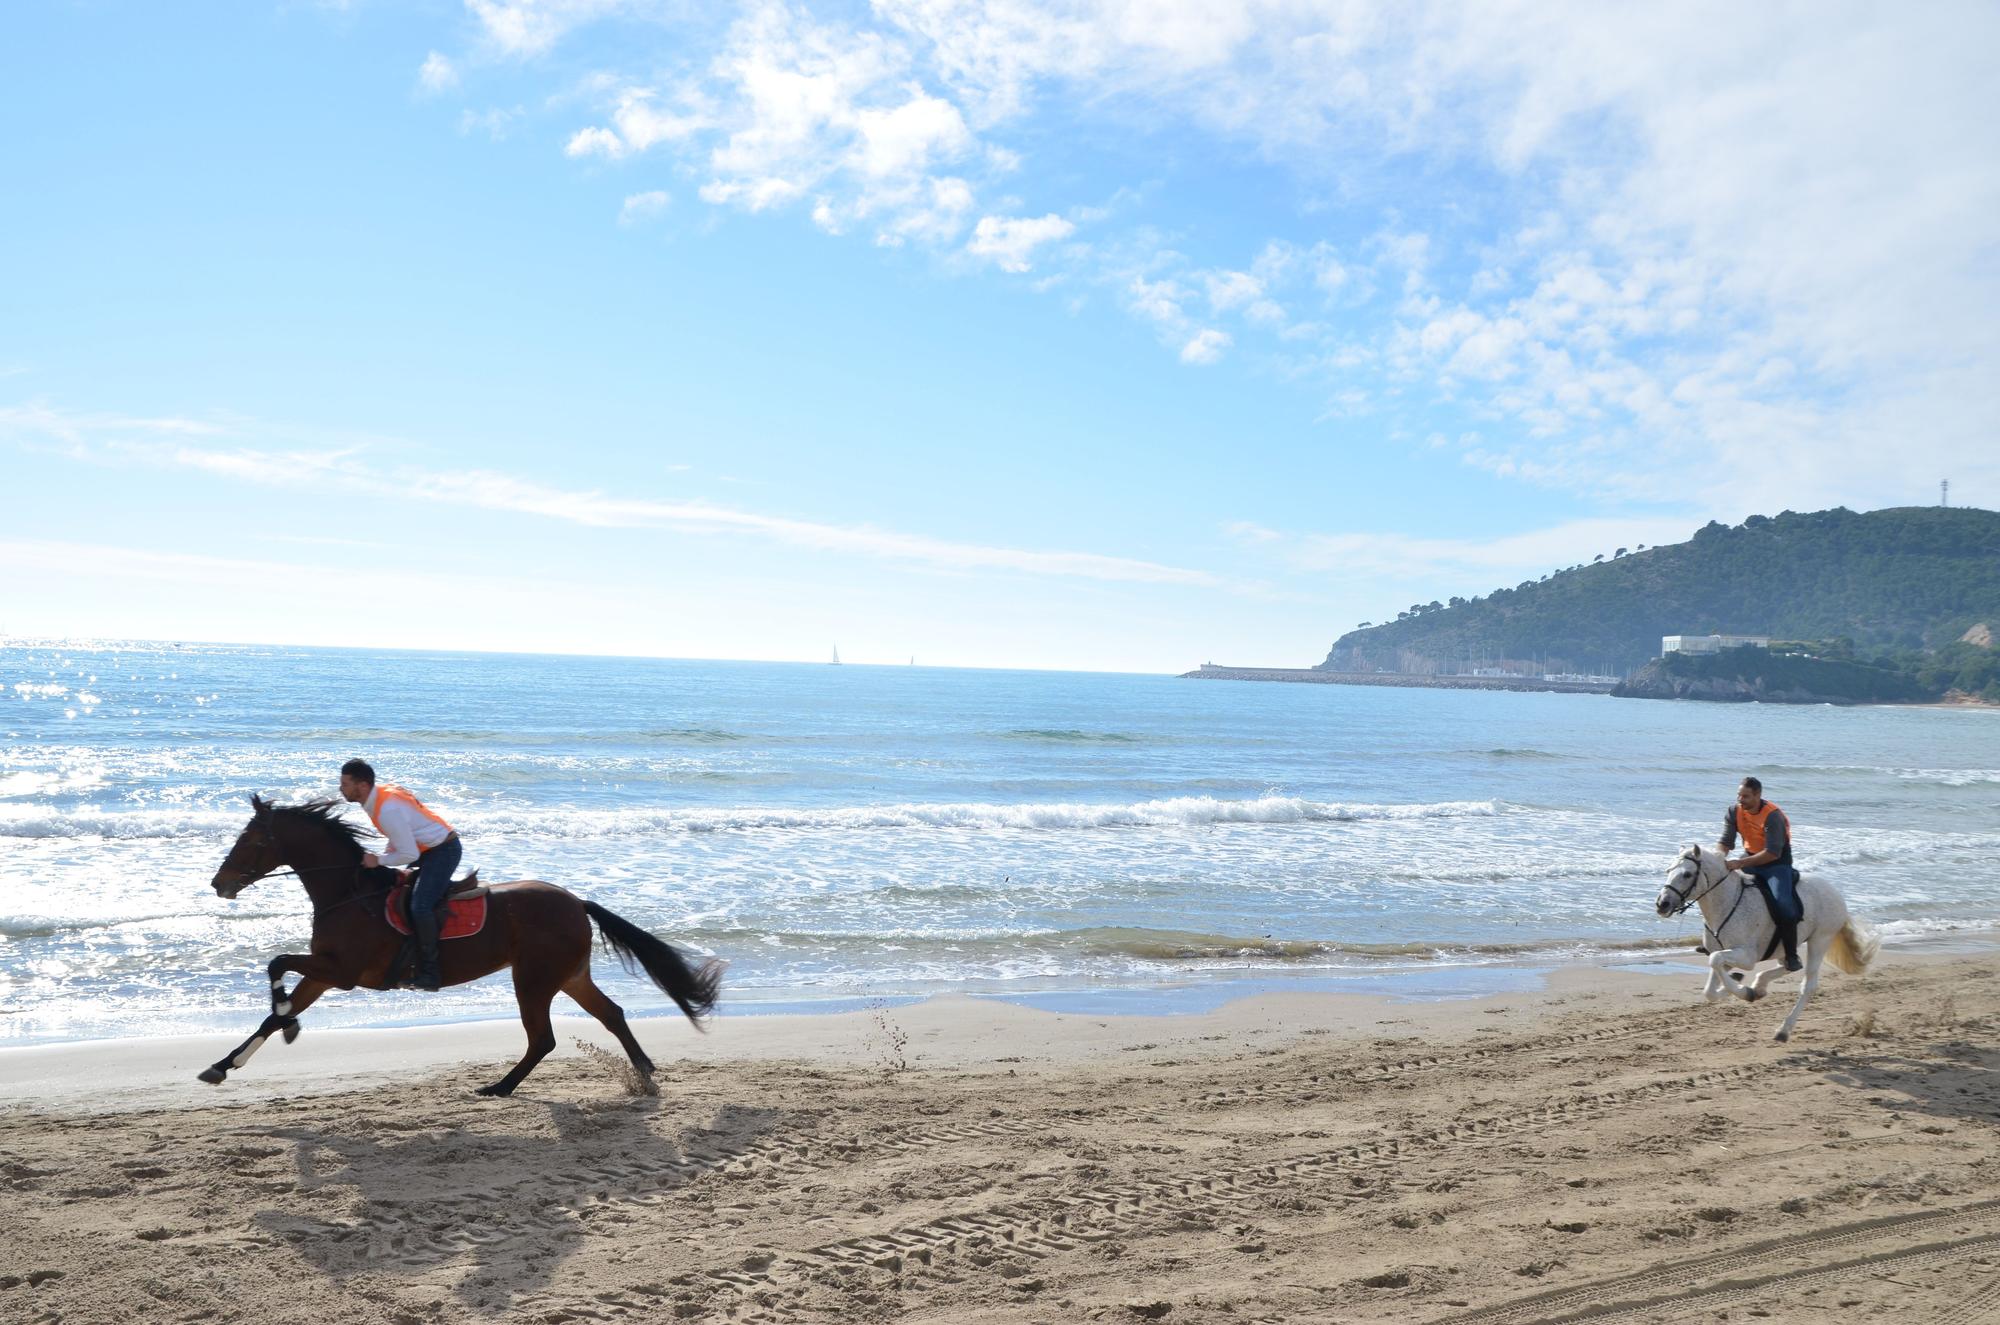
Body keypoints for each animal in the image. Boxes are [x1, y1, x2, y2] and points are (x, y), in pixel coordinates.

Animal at [201, 800, 720, 1096]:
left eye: (251, 839)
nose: (218, 883)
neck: (348, 894)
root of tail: (576, 902)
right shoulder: (324, 972)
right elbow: (271, 1012)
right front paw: (224, 1065)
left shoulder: (342, 972)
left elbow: (276, 965)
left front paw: (287, 1023)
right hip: (570, 975)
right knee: (612, 1014)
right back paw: (644, 1074)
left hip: (533, 979)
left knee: (543, 1038)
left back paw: (500, 1087)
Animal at [1656, 844, 1872, 1040]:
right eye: (1668, 871)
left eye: (1687, 874)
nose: (1662, 904)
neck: (1727, 902)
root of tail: (1835, 892)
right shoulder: (1724, 953)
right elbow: (1710, 989)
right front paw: (1740, 986)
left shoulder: (1745, 957)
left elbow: (1715, 961)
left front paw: (1743, 991)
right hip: (1787, 947)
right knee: (1790, 965)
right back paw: (1759, 986)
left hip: (1820, 940)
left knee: (1808, 985)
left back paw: (1783, 1030)